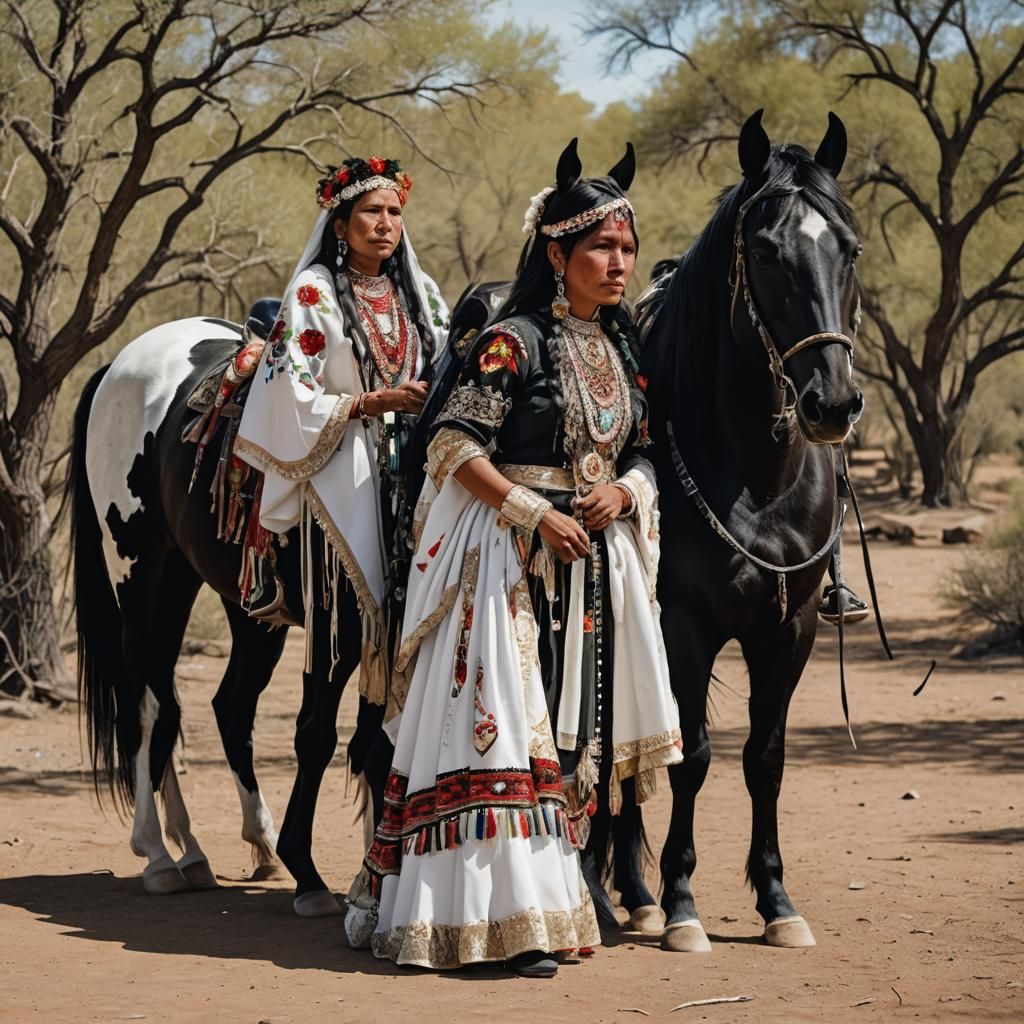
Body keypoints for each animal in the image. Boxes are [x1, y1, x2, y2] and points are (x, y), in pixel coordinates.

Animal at [635, 110, 864, 952]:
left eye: (849, 247)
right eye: (765, 252)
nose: (832, 403)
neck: (757, 477)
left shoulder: (789, 627)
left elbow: (765, 757)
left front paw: (776, 900)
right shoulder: (682, 624)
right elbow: (690, 754)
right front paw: (679, 903)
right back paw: (623, 888)